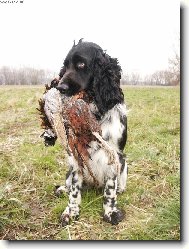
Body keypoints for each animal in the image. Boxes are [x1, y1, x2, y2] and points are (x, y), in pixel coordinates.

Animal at [43, 39, 127, 226]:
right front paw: (71, 211)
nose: (59, 87)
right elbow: (74, 188)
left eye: (81, 64)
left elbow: (110, 189)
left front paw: (110, 212)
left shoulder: (114, 154)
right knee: (68, 183)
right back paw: (62, 189)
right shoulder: (76, 155)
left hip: (124, 164)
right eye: (65, 66)